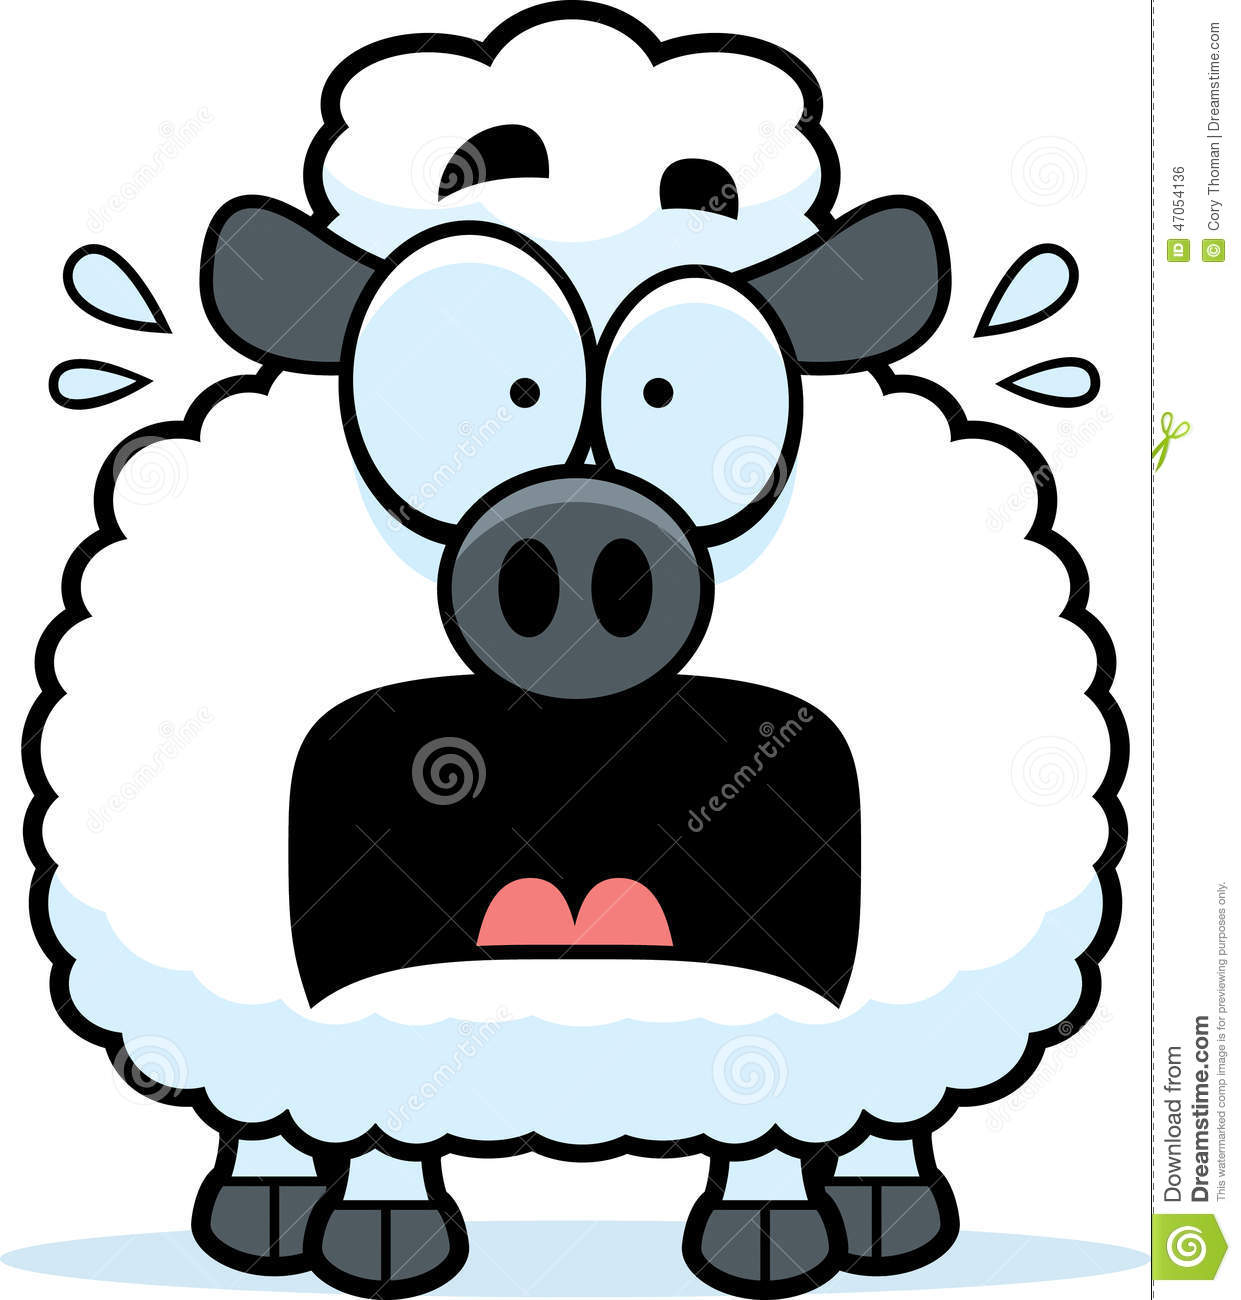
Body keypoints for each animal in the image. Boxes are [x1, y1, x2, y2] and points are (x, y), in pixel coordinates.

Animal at [26, 5, 1125, 1298]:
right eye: (475, 383)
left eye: (678, 389)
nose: (581, 544)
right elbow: (375, 1103)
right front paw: (380, 1230)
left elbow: (772, 1096)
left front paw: (769, 1230)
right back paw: (263, 1204)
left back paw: (884, 1206)